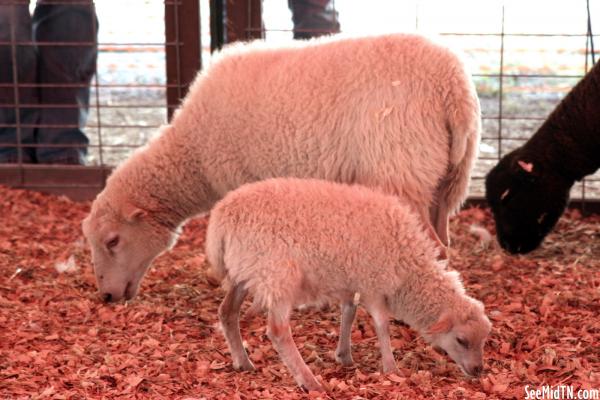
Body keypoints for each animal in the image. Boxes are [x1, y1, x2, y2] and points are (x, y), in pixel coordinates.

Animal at [82, 33, 480, 304]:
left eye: (112, 240)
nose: (106, 296)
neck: (192, 149)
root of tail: (452, 86)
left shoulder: (242, 182)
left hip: (402, 169)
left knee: (431, 249)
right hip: (447, 180)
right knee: (444, 245)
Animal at [207, 180, 492, 392]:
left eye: (484, 340)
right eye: (461, 340)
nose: (478, 370)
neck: (408, 268)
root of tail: (220, 219)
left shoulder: (351, 278)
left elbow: (349, 312)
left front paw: (344, 355)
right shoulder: (373, 282)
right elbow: (381, 324)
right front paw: (391, 368)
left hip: (245, 271)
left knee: (227, 312)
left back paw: (242, 362)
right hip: (278, 275)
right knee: (278, 331)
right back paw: (309, 381)